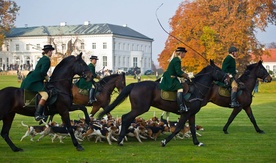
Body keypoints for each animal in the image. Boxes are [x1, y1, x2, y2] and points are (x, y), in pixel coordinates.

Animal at [98, 59, 230, 146]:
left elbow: (192, 128)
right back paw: (120, 140)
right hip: (140, 108)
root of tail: (135, 84)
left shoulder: (191, 114)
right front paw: (164, 141)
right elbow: (178, 128)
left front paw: (197, 142)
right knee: (126, 118)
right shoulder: (185, 113)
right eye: (219, 70)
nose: (228, 79)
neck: (196, 89)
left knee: (126, 118)